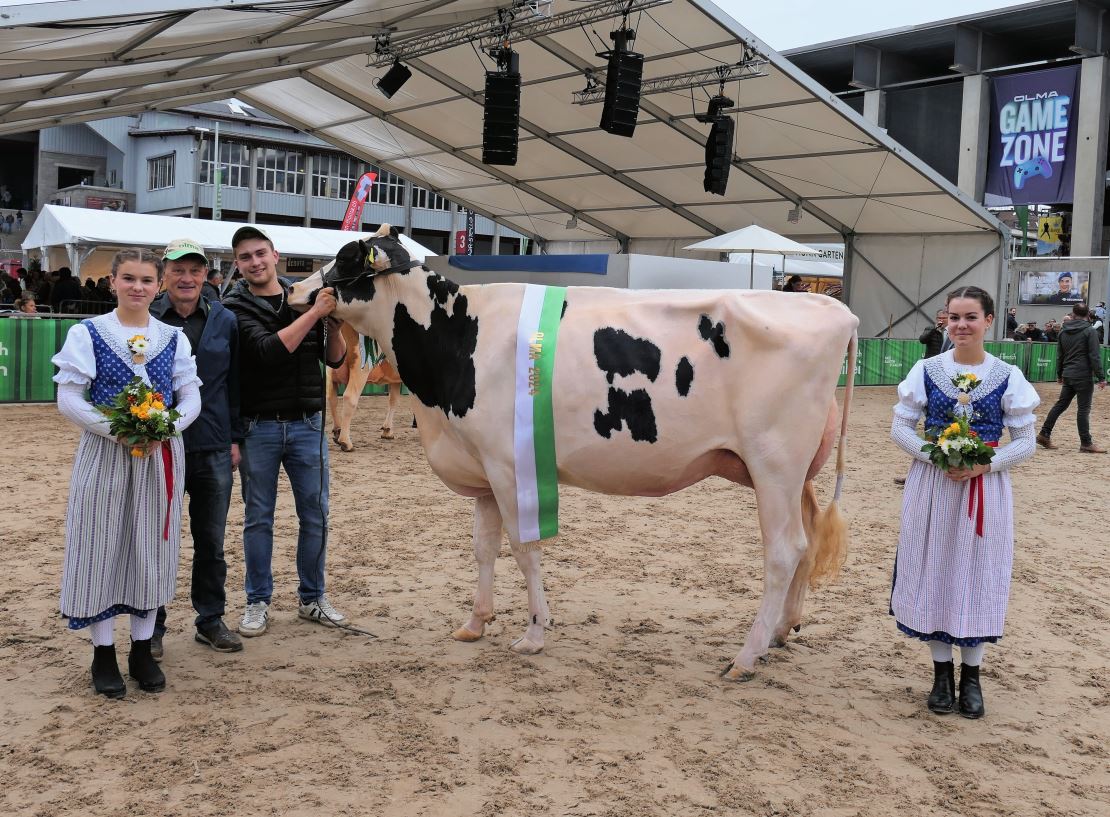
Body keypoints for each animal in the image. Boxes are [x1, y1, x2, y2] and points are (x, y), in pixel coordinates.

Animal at [328, 319, 408, 450]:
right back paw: (345, 442)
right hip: (361, 365)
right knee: (349, 397)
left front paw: (387, 431)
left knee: (332, 398)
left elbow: (393, 400)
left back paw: (337, 431)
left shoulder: (395, 379)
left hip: (331, 367)